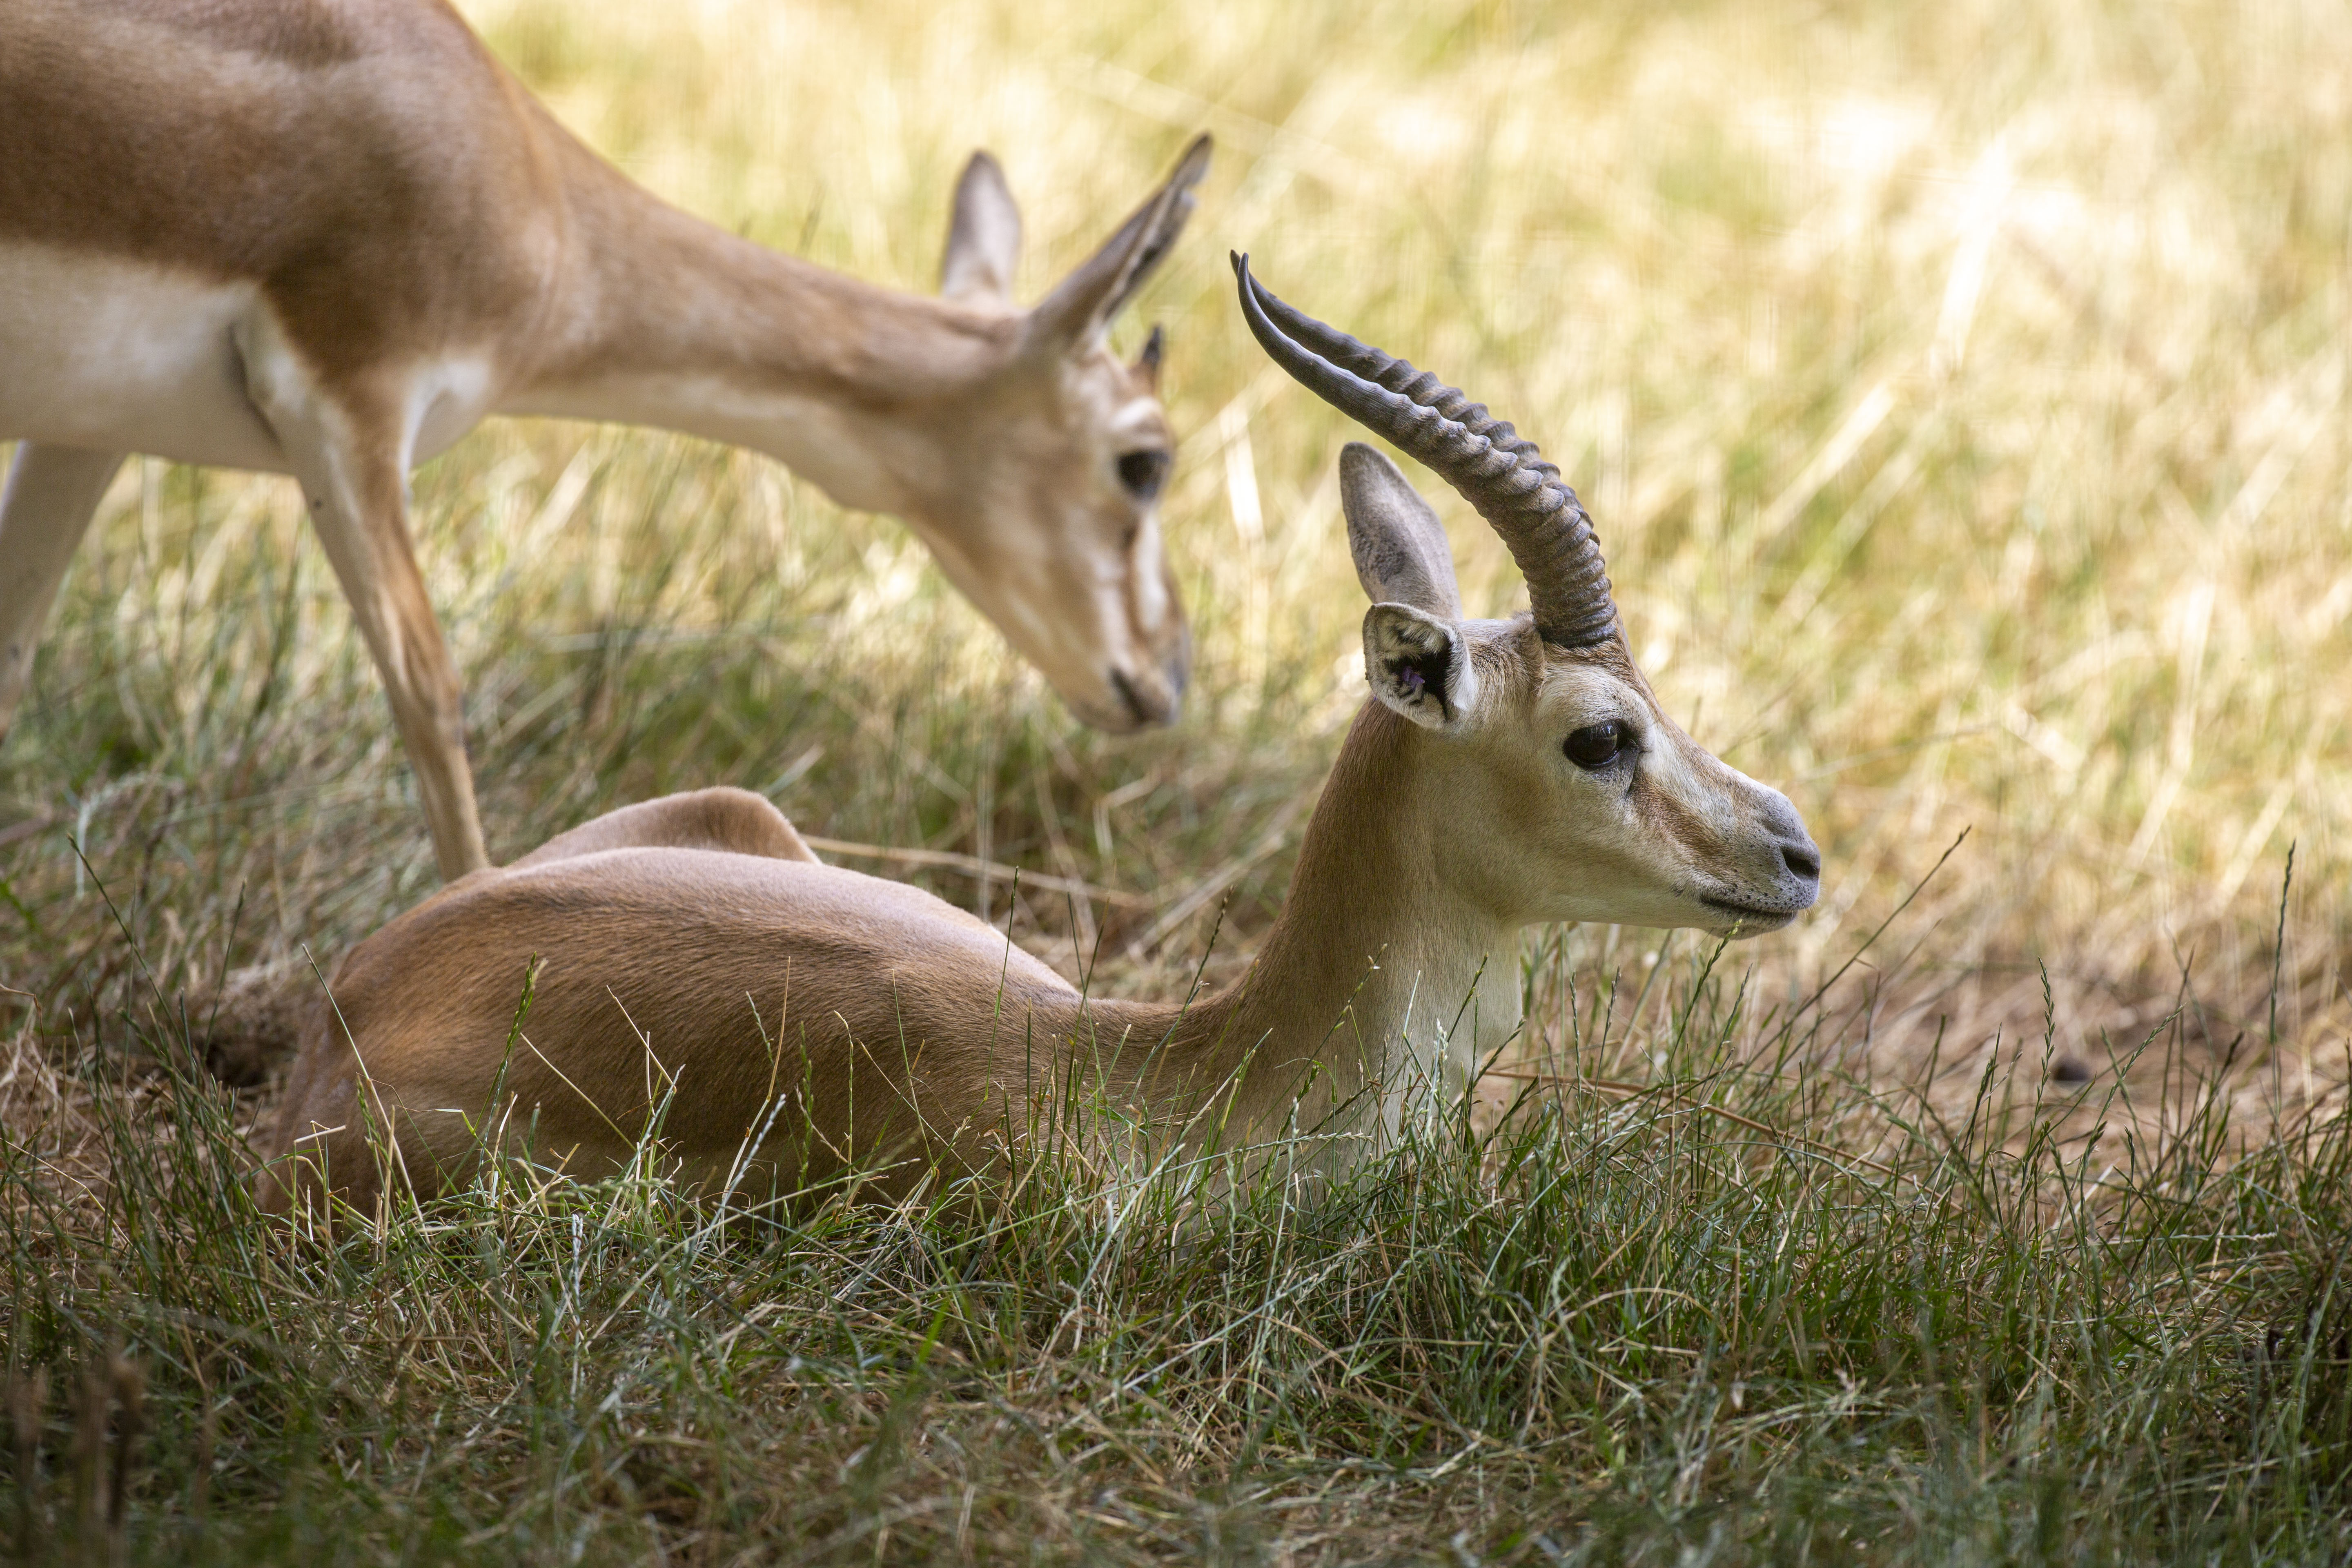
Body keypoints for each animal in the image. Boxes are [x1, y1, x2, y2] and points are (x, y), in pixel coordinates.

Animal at [0, 0, 1210, 880]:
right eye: (1144, 460)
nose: (1165, 681)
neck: (530, 188)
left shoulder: (88, 429)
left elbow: (14, 655)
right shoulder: (346, 403)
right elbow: (433, 697)